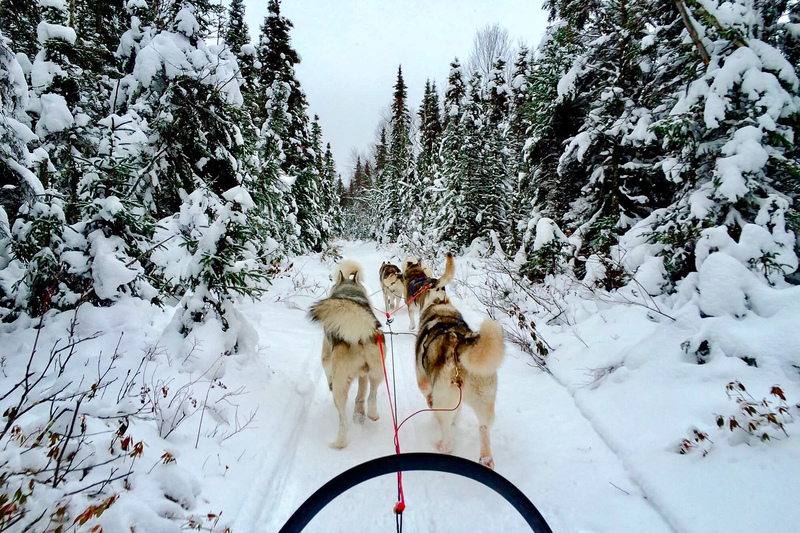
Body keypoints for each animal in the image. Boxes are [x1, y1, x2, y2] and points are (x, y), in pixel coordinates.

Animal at [308, 260, 382, 446]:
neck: (350, 292)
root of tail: (360, 333)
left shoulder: (326, 356)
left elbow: (326, 368)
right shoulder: (364, 375)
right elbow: (362, 393)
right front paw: (360, 411)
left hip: (340, 388)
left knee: (343, 421)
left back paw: (337, 443)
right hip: (378, 372)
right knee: (371, 394)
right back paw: (370, 414)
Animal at [416, 252, 504, 466]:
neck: (441, 312)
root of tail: (460, 348)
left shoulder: (422, 379)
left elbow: (426, 393)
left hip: (444, 402)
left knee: (447, 435)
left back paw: (442, 445)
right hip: (486, 403)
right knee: (484, 428)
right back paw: (486, 458)